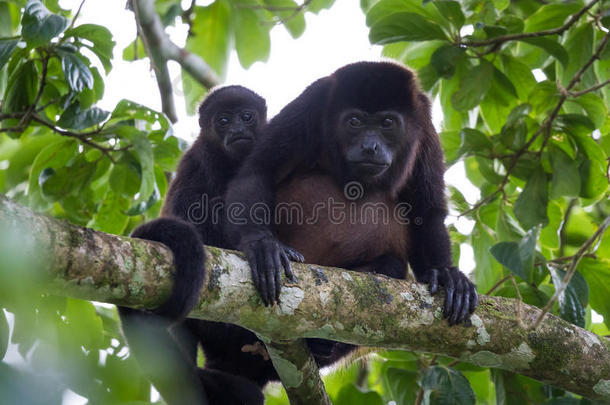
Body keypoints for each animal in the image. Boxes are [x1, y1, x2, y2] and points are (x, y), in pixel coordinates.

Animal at [119, 85, 300, 404]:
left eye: (246, 116)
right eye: (223, 120)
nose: (238, 129)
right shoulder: (197, 161)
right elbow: (195, 217)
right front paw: (265, 248)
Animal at [226, 60, 478, 372]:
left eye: (387, 123)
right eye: (355, 122)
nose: (370, 146)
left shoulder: (424, 124)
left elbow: (426, 210)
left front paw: (445, 274)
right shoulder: (314, 101)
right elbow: (258, 170)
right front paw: (262, 244)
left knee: (394, 263)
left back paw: (320, 344)